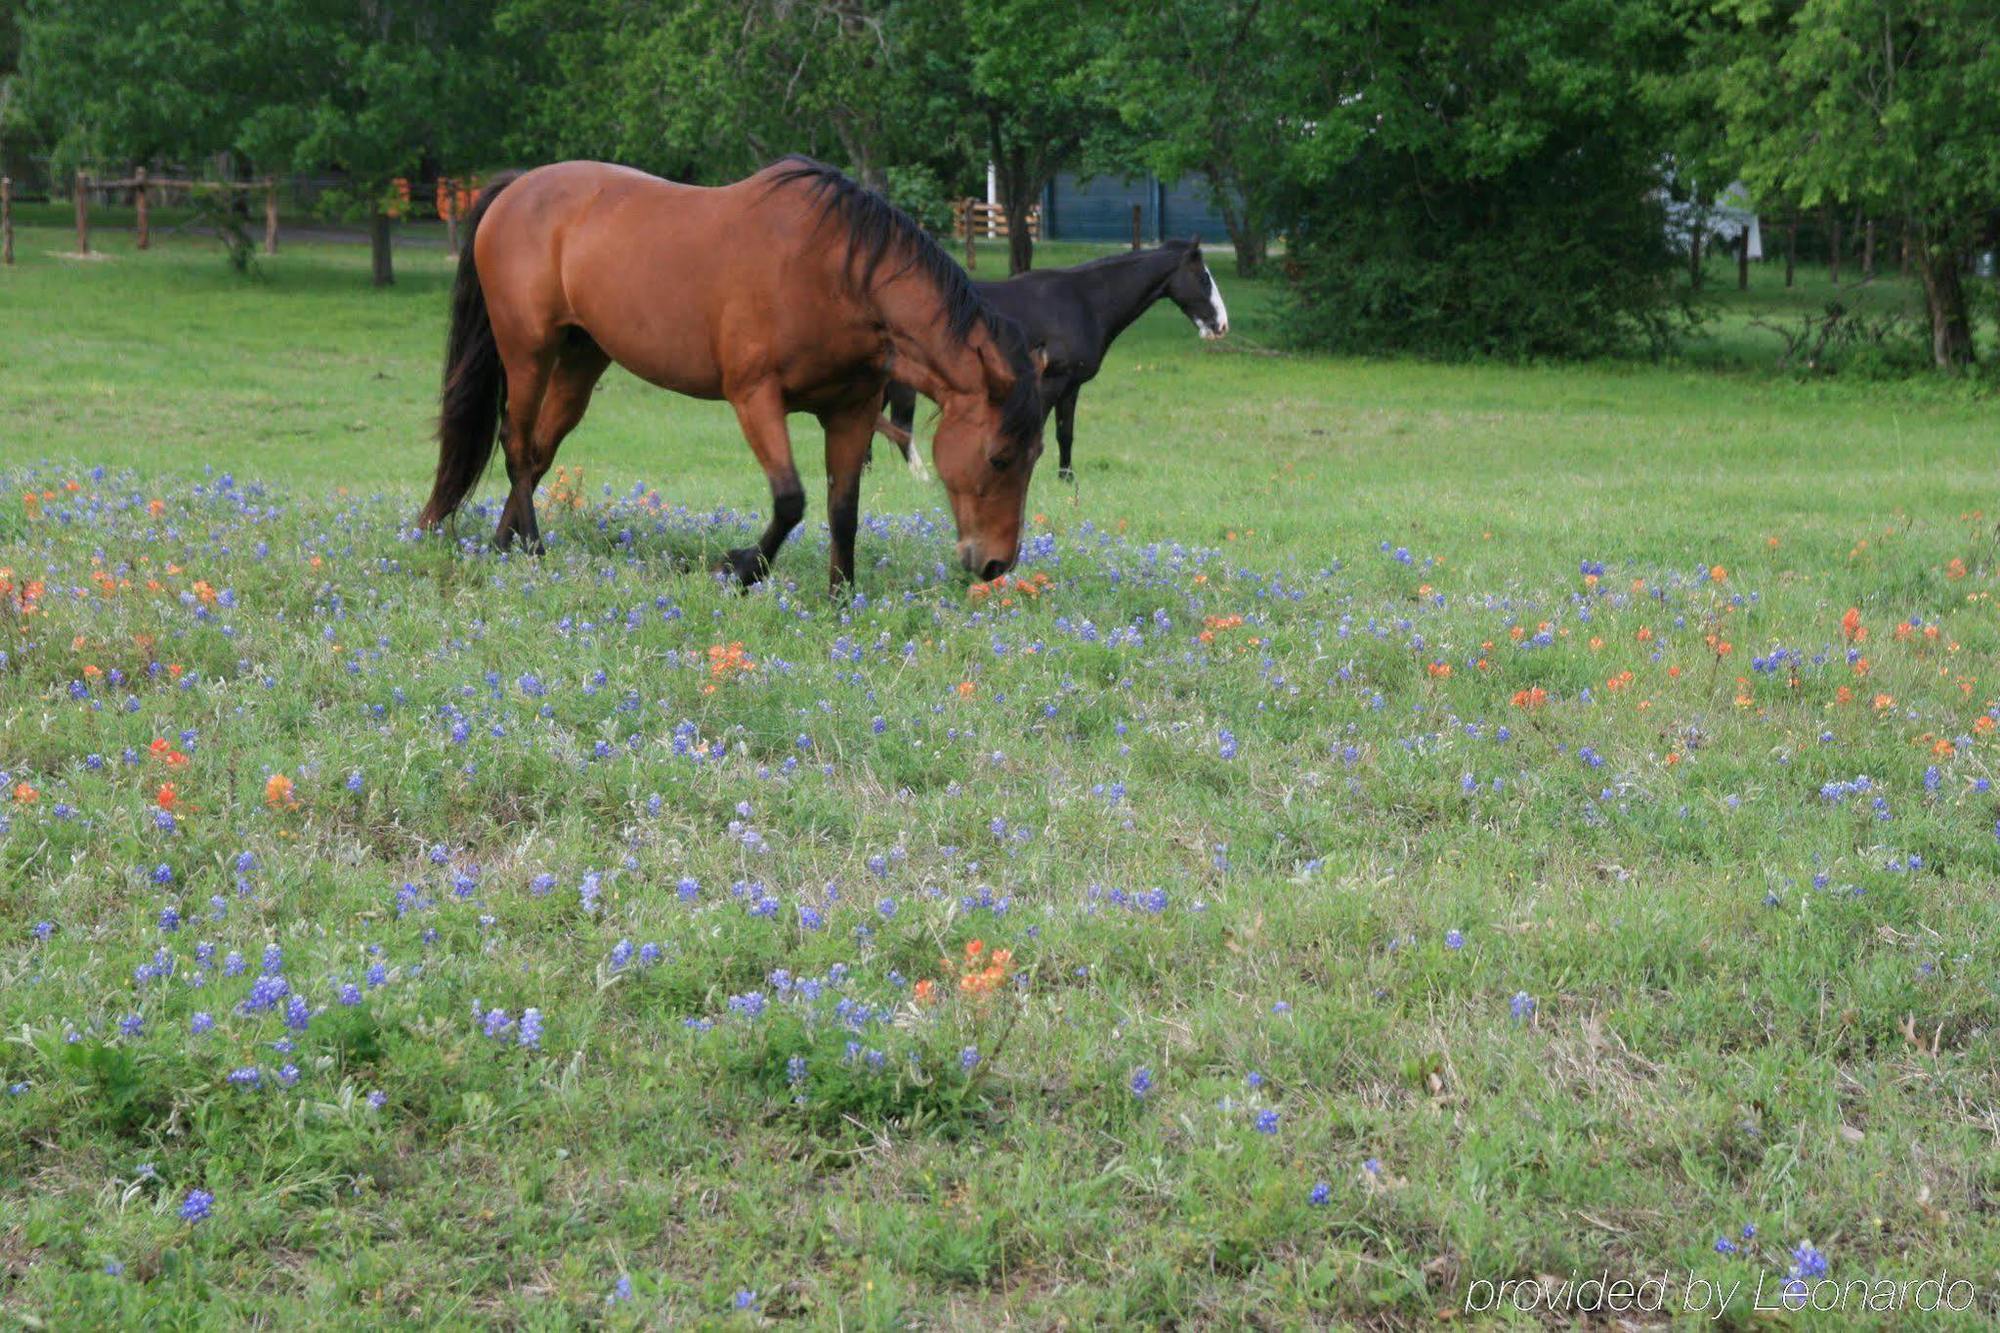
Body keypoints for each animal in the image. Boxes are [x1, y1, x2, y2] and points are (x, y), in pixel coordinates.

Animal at [420, 158, 1048, 584]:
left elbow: (842, 510)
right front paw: (741, 568)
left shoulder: (852, 413)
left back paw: (502, 545)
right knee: (516, 442)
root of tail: (515, 187)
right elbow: (791, 500)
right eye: (1000, 458)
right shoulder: (755, 398)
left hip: (581, 359)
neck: (836, 275)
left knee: (539, 451)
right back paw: (531, 547)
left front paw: (841, 595)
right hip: (528, 351)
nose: (996, 564)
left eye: (1034, 457)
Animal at [880, 236, 1224, 480]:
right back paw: (920, 476)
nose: (1220, 324)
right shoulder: (1049, 383)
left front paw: (1066, 478)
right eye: (1204, 278)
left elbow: (1064, 433)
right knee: (900, 424)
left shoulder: (1071, 386)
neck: (1082, 302)